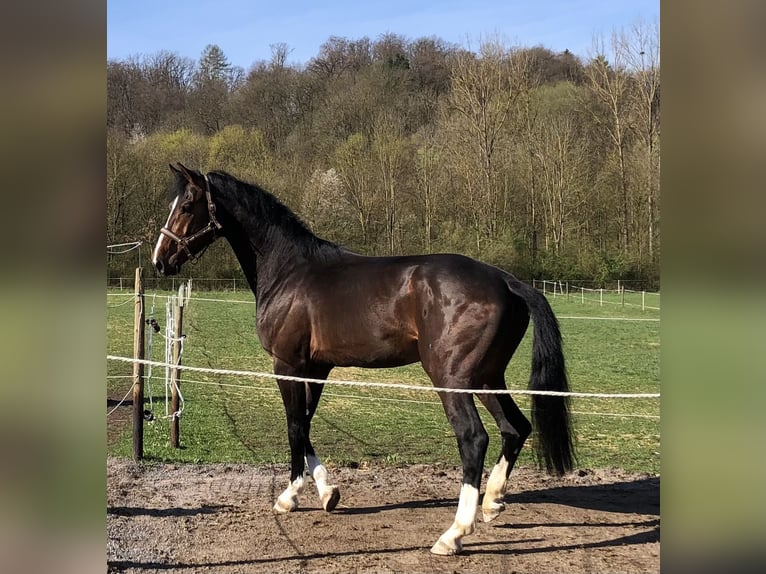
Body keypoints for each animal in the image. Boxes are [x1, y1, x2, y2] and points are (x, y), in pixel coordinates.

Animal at [152, 163, 576, 560]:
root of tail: (506, 281)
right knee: (515, 427)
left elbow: (294, 426)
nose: (160, 260)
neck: (290, 271)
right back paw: (492, 501)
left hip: (453, 378)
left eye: (186, 206)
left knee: (474, 438)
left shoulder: (287, 366)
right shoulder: (316, 369)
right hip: (487, 376)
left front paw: (290, 496)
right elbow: (306, 425)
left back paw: (454, 533)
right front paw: (327, 492)